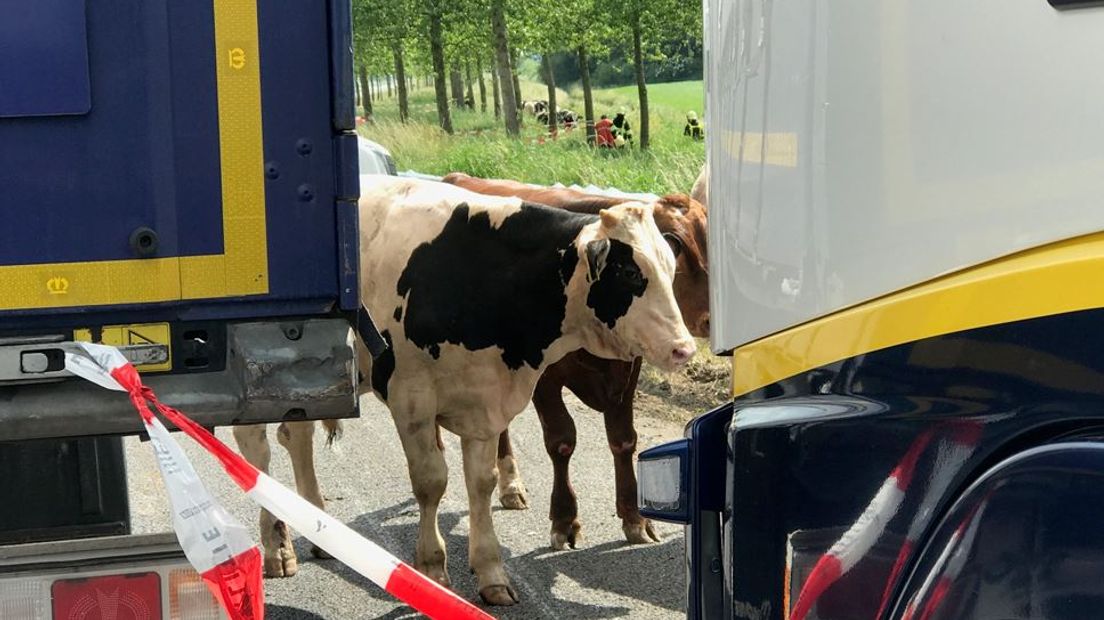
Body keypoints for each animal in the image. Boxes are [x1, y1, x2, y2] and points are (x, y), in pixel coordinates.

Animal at [439, 169, 706, 544]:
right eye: (635, 272)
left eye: (671, 265)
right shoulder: (544, 378)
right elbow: (562, 440)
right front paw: (565, 520)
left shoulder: (627, 372)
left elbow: (624, 439)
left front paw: (635, 517)